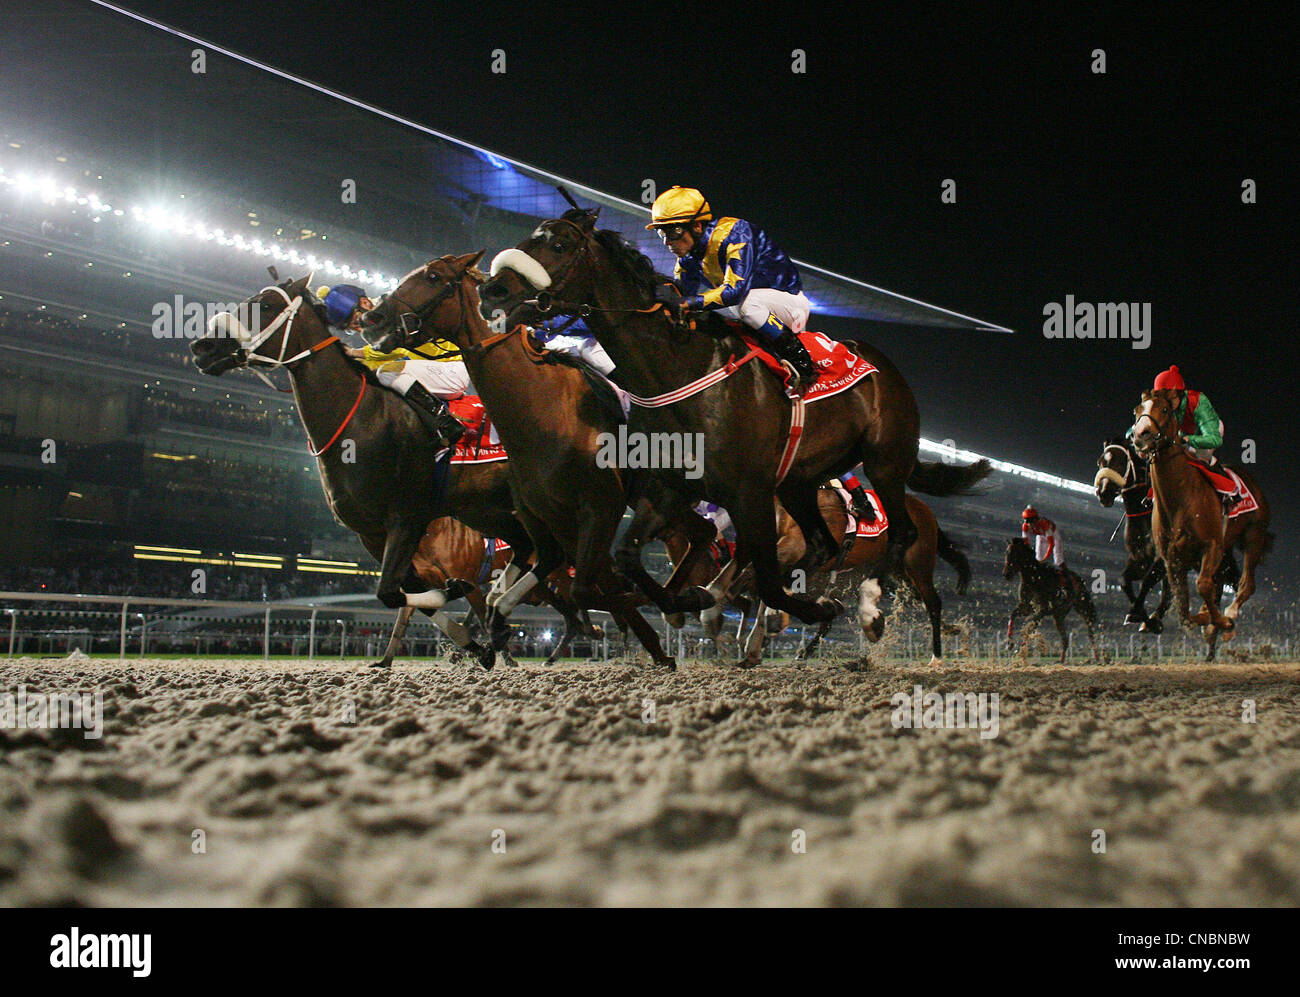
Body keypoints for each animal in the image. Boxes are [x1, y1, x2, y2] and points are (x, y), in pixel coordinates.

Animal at [361, 252, 717, 670]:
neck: (540, 404)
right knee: (699, 535)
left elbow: (590, 587)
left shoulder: (598, 507)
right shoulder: (543, 513)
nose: (373, 318)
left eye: (433, 277)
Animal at [483, 206, 987, 629]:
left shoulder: (749, 493)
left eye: (560, 245)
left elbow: (765, 579)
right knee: (822, 544)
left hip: (885, 461)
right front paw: (689, 598)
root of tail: (887, 370)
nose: (493, 289)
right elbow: (629, 556)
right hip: (799, 482)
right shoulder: (674, 485)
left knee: (900, 533)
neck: (678, 367)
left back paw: (866, 603)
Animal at [1133, 395, 1274, 660]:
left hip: (1254, 535)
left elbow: (1203, 586)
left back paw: (1230, 615)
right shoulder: (1173, 557)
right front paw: (1205, 620)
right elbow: (1182, 608)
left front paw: (1221, 622)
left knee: (1245, 584)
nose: (1140, 435)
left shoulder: (1212, 545)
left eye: (1165, 409)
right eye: (1137, 411)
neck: (1180, 496)